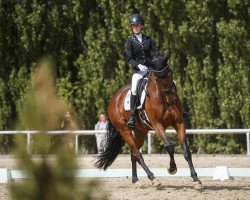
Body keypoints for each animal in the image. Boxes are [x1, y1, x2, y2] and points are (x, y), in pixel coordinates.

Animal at [94, 55, 202, 189]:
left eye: (170, 73)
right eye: (157, 79)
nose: (172, 99)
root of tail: (114, 98)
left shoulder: (179, 123)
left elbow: (186, 151)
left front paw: (196, 179)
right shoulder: (157, 125)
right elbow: (170, 147)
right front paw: (172, 169)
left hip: (140, 132)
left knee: (133, 154)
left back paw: (136, 180)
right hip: (125, 130)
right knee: (137, 154)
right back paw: (153, 178)